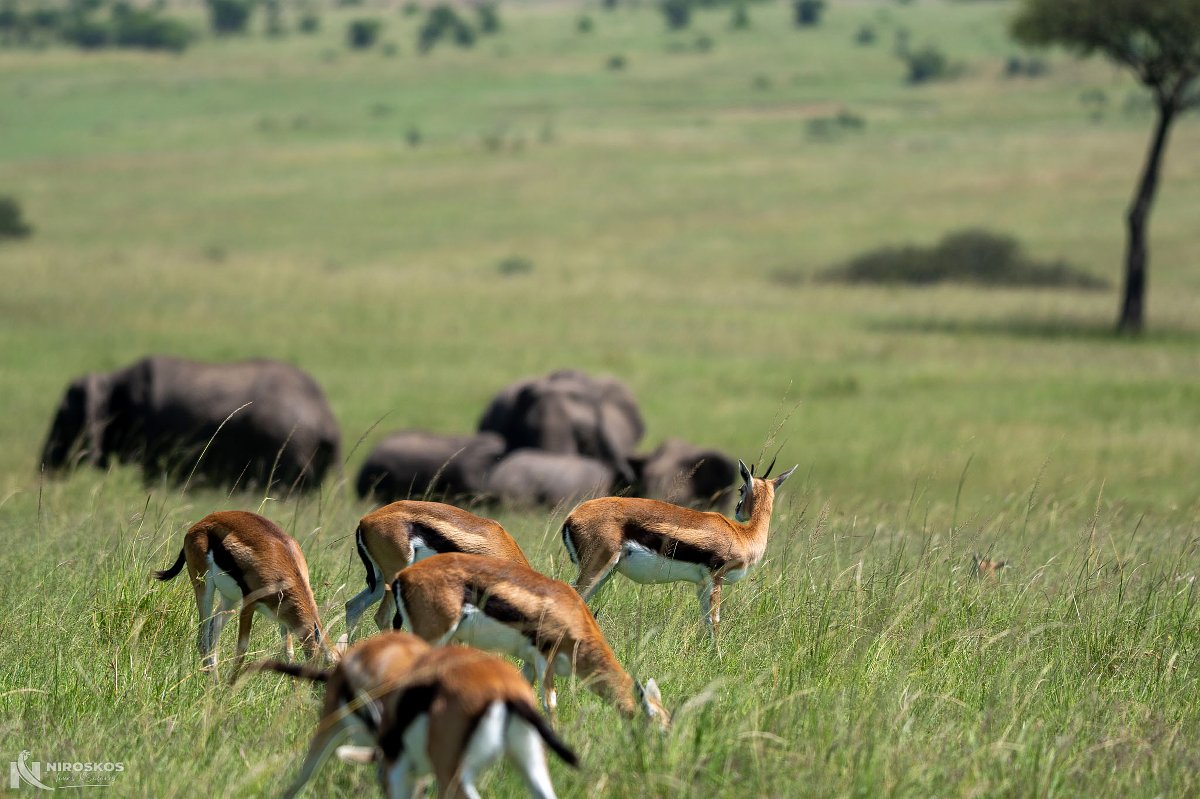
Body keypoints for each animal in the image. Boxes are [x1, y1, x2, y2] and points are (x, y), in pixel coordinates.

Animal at [40, 355, 341, 493]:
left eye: (63, 417)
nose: (46, 473)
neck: (112, 381)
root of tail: (327, 419)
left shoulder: (154, 434)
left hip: (289, 445)